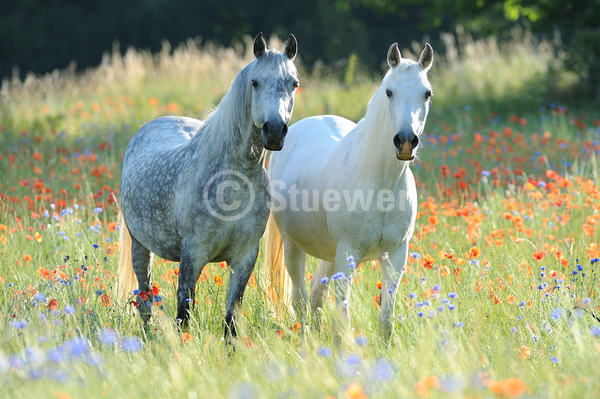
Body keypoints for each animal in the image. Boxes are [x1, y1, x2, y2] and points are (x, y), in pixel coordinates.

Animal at [264, 43, 434, 338]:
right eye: (389, 92)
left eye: (427, 93)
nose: (405, 141)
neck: (381, 187)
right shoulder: (348, 253)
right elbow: (342, 316)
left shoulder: (396, 255)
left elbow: (386, 319)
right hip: (293, 246)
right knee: (300, 300)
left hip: (329, 252)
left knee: (316, 294)